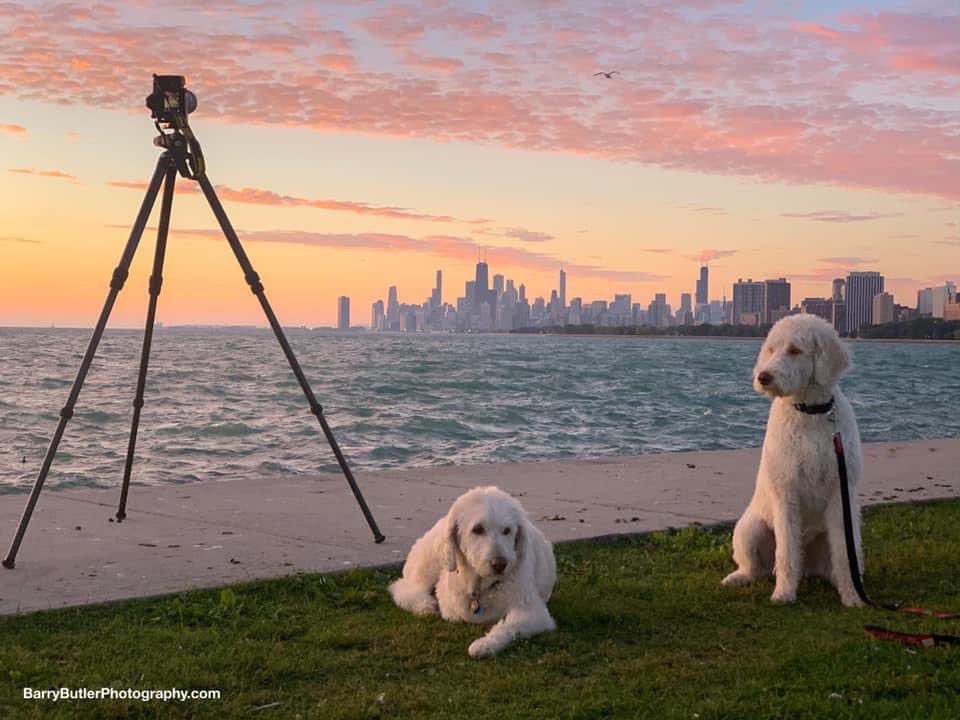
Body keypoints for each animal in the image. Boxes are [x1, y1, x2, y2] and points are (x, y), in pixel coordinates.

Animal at [388, 484, 556, 660]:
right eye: (478, 529)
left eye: (507, 530)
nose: (500, 564)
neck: (481, 586)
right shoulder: (449, 602)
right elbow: (454, 613)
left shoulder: (535, 612)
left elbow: (508, 625)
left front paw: (485, 644)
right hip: (429, 565)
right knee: (402, 588)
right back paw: (424, 605)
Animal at [724, 316, 868, 608]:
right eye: (770, 349)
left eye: (795, 350)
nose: (763, 377)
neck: (809, 413)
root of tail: (809, 569)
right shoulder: (786, 492)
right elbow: (787, 551)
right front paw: (784, 594)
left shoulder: (841, 491)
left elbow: (844, 554)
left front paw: (852, 597)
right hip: (749, 530)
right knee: (755, 568)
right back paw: (740, 577)